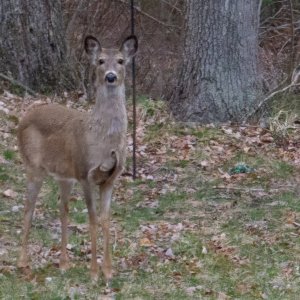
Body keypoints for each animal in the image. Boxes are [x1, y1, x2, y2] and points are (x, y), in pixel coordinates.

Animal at [17, 34, 138, 282]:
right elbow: (92, 219)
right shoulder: (84, 174)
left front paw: (108, 271)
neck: (102, 140)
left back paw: (64, 263)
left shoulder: (110, 180)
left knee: (62, 209)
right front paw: (93, 272)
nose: (110, 76)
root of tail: (23, 119)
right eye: (100, 61)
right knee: (28, 208)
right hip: (33, 167)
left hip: (64, 176)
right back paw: (23, 262)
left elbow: (106, 219)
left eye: (121, 61)